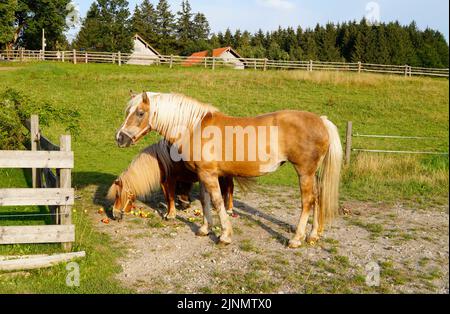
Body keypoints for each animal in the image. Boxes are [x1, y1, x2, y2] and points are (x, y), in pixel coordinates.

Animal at [107, 139, 236, 222]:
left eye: (117, 195)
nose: (114, 214)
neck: (160, 161)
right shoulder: (165, 182)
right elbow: (168, 198)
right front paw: (169, 213)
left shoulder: (171, 180)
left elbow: (170, 197)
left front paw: (171, 215)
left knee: (230, 189)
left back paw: (229, 209)